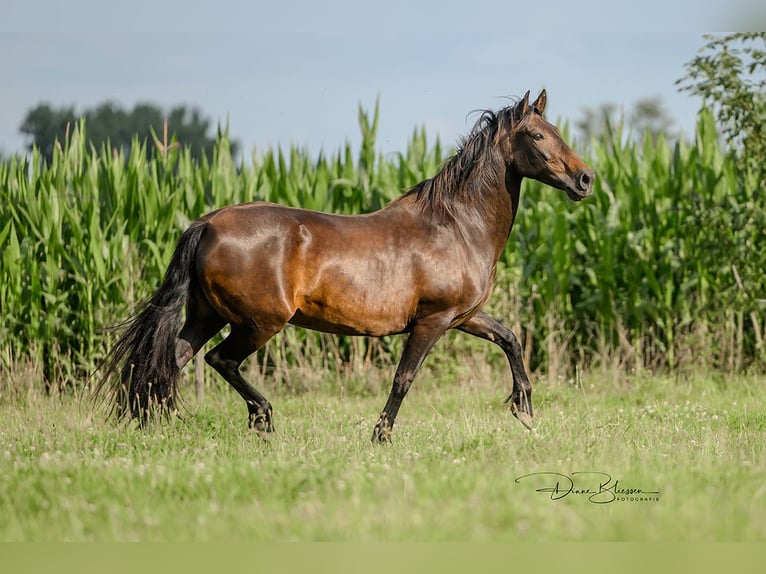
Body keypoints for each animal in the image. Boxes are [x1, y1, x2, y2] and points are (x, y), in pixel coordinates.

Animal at [96, 90, 596, 444]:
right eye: (537, 136)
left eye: (555, 129)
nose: (585, 179)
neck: (455, 224)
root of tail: (207, 223)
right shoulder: (433, 320)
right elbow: (404, 377)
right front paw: (381, 436)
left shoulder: (464, 316)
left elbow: (510, 338)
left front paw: (524, 410)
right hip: (259, 322)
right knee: (221, 359)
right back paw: (263, 419)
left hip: (206, 315)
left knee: (171, 361)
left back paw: (152, 424)